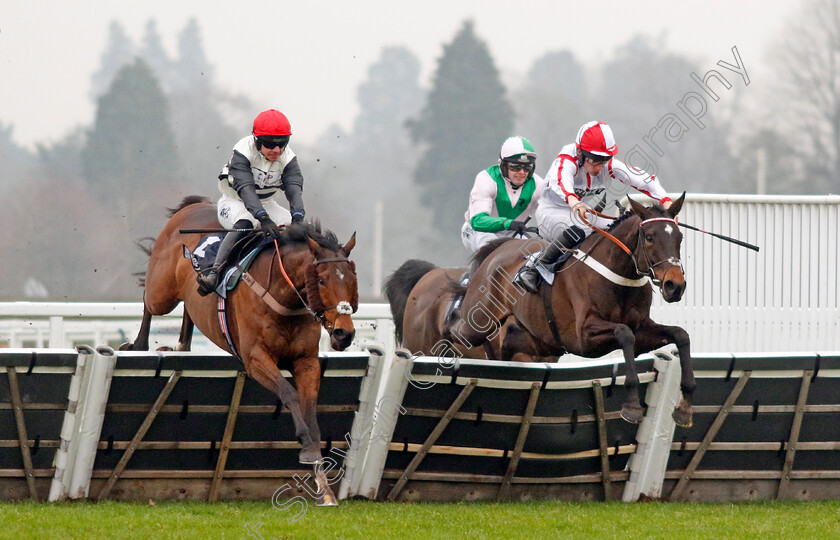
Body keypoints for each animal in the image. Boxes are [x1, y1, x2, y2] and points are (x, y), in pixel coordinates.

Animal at [121, 196, 358, 504]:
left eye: (352, 279)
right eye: (322, 280)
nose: (344, 333)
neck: (285, 297)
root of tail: (194, 206)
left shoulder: (306, 361)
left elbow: (310, 409)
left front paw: (324, 487)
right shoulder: (255, 358)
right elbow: (288, 394)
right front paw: (306, 448)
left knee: (188, 309)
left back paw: (182, 344)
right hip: (162, 291)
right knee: (148, 300)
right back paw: (138, 344)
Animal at [446, 194, 696, 426]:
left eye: (680, 237)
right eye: (650, 237)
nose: (675, 285)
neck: (618, 275)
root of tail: (500, 247)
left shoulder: (642, 329)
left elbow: (681, 335)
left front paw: (684, 407)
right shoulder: (583, 336)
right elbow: (624, 334)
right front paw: (632, 406)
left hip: (542, 341)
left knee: (507, 342)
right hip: (479, 322)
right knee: (456, 330)